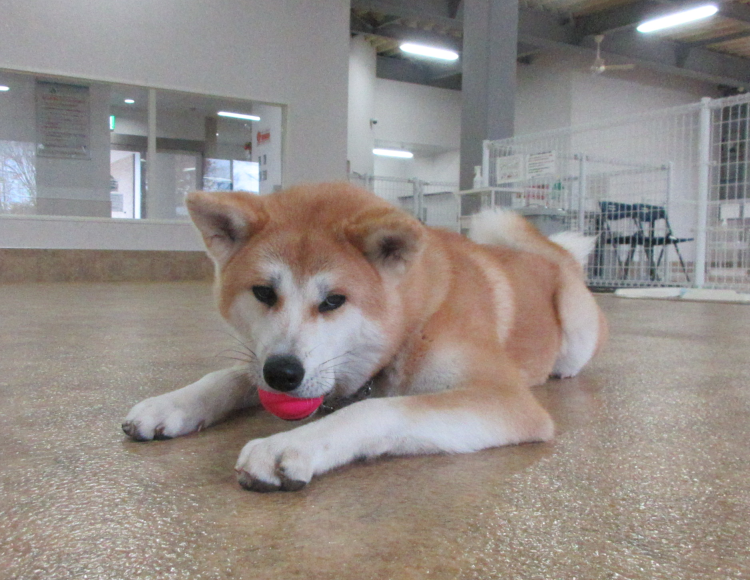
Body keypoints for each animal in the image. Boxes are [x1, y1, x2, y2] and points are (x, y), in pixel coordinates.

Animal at [122, 182, 607, 492]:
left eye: (334, 301)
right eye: (263, 292)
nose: (283, 374)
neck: (417, 319)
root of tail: (551, 255)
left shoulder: (503, 397)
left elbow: (375, 410)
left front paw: (292, 444)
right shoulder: (269, 359)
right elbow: (228, 377)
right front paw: (172, 404)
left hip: (575, 330)